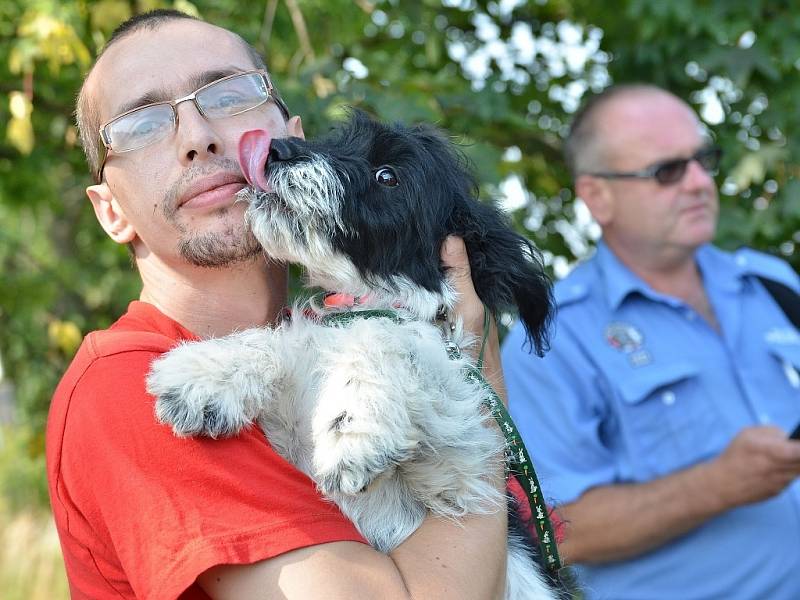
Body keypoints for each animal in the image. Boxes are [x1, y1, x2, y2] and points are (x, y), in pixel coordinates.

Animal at [145, 110, 556, 596]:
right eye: (340, 141)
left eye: (387, 175)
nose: (277, 149)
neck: (365, 297)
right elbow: (288, 339)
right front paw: (202, 375)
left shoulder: (461, 469)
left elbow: (390, 335)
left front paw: (353, 431)